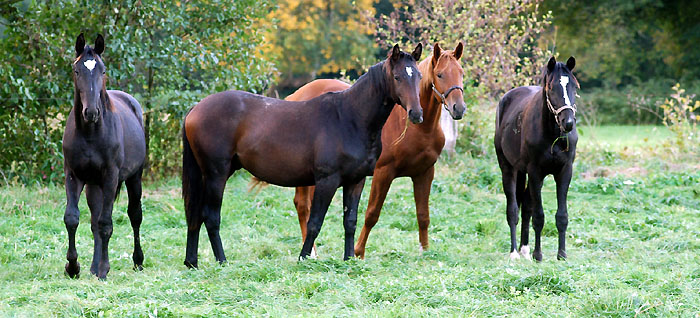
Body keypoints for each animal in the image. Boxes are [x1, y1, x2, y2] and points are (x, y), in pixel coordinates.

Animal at [61, 33, 146, 280]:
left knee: (134, 216)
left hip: (134, 178)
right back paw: (93, 265)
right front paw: (73, 267)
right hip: (94, 185)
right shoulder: (73, 176)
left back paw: (137, 261)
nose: (91, 112)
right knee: (94, 221)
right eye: (77, 70)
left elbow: (106, 223)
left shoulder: (110, 177)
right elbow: (73, 218)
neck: (91, 134)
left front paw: (104, 270)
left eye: (103, 70)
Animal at [180, 42, 422, 266]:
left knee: (195, 215)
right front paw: (304, 258)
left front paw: (348, 259)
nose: (416, 114)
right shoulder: (327, 181)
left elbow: (350, 221)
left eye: (419, 76)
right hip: (216, 175)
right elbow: (315, 222)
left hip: (208, 175)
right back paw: (222, 261)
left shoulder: (356, 181)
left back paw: (192, 262)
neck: (349, 118)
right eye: (398, 77)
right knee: (211, 217)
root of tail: (195, 109)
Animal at [290, 42, 464, 258]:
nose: (459, 108)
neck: (417, 129)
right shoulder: (383, 173)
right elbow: (372, 214)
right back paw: (312, 253)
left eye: (461, 73)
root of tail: (297, 94)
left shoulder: (424, 173)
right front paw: (358, 252)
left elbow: (423, 215)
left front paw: (425, 251)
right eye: (440, 75)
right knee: (303, 206)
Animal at [492, 56, 580, 262]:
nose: (568, 122)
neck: (553, 136)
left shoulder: (565, 171)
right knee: (513, 209)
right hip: (509, 168)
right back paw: (514, 252)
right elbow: (538, 216)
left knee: (525, 207)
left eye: (574, 86)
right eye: (552, 87)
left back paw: (524, 249)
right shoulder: (535, 172)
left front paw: (561, 254)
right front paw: (538, 255)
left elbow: (561, 216)